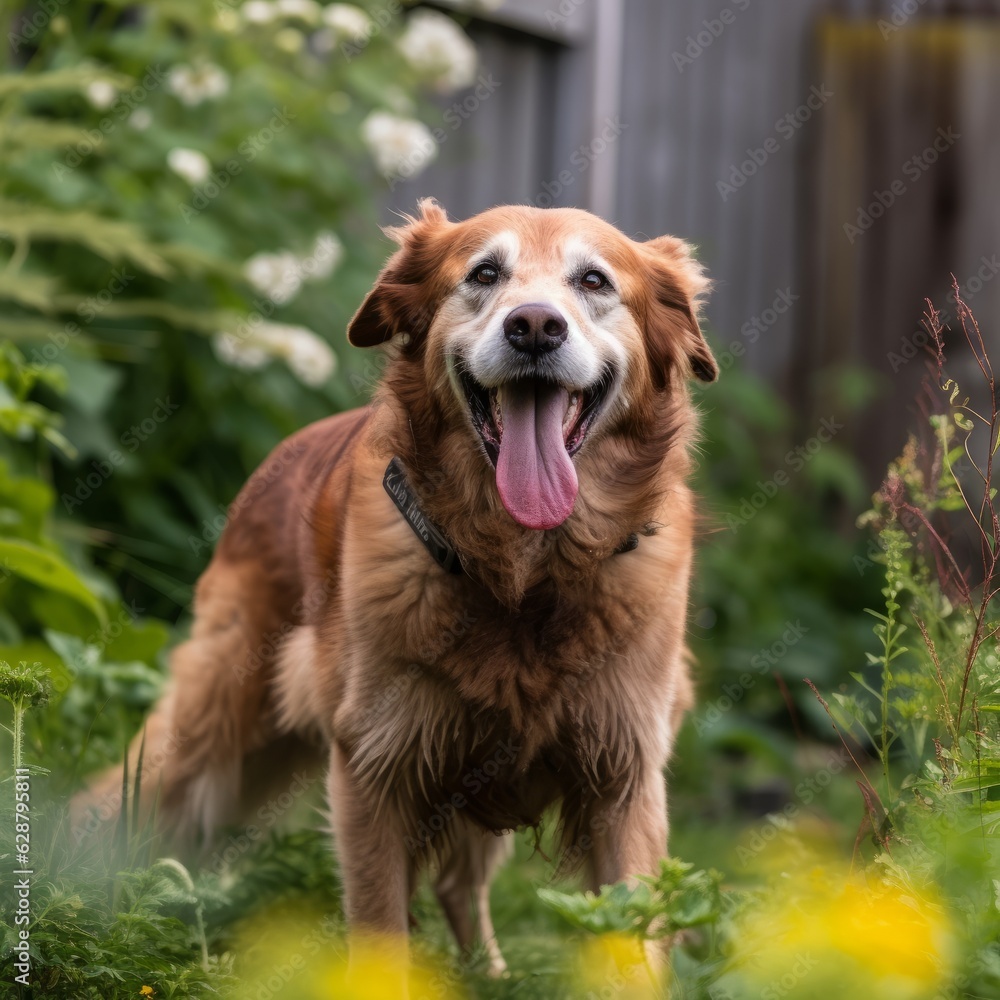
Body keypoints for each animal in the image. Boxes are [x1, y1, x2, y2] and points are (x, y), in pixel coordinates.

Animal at [74, 199, 716, 980]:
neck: (523, 572)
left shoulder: (624, 778)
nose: (535, 326)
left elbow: (634, 939)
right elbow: (381, 931)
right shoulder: (375, 770)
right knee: (119, 808)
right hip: (215, 729)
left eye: (593, 280)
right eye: (484, 274)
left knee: (459, 883)